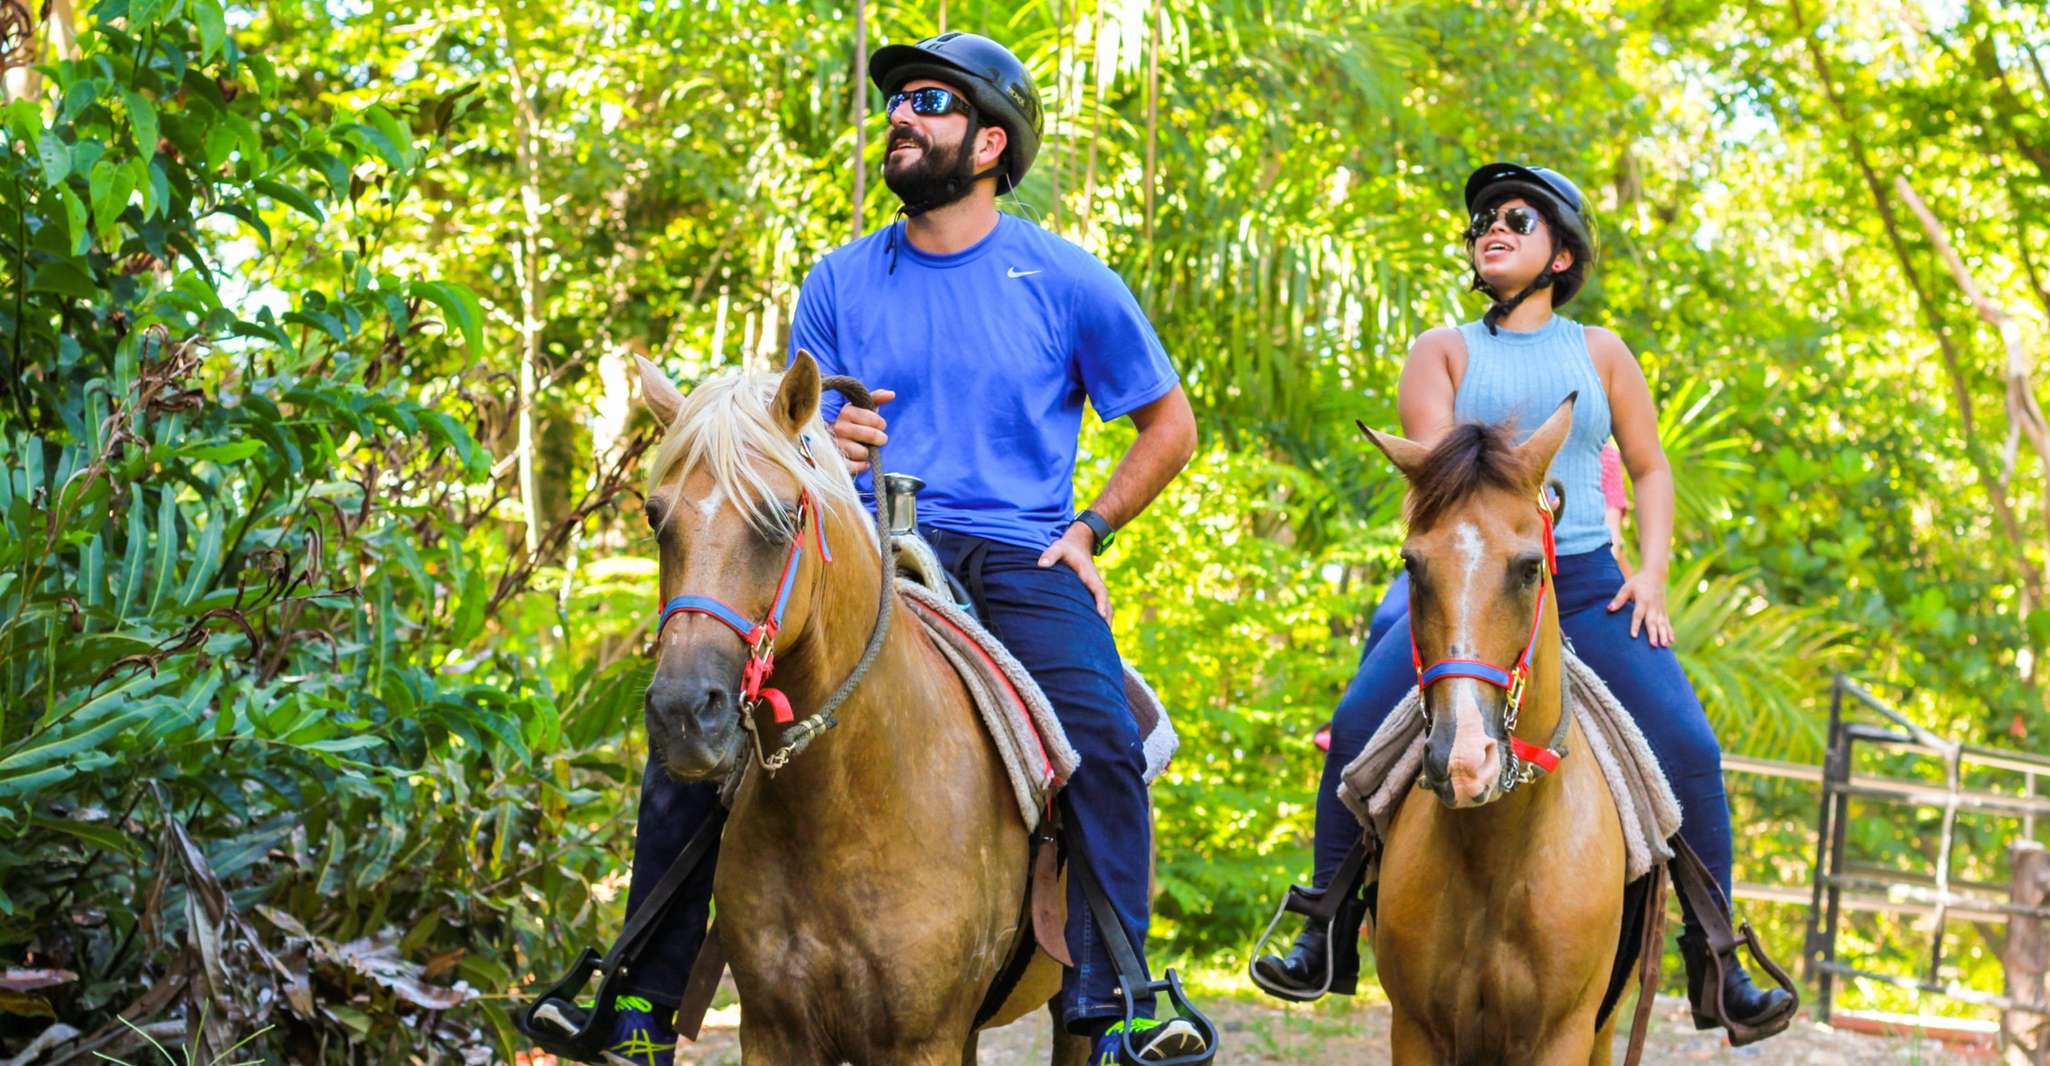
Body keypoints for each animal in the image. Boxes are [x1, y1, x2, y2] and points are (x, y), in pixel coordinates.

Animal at [631, 354, 1090, 1057]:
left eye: (779, 518)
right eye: (658, 519)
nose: (684, 712)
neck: (849, 798)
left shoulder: (921, 1041)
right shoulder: (773, 1034)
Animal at [1361, 399, 1631, 1066]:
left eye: (1530, 567)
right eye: (1412, 565)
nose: (1463, 761)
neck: (1497, 854)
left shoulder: (1563, 1035)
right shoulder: (1415, 1031)